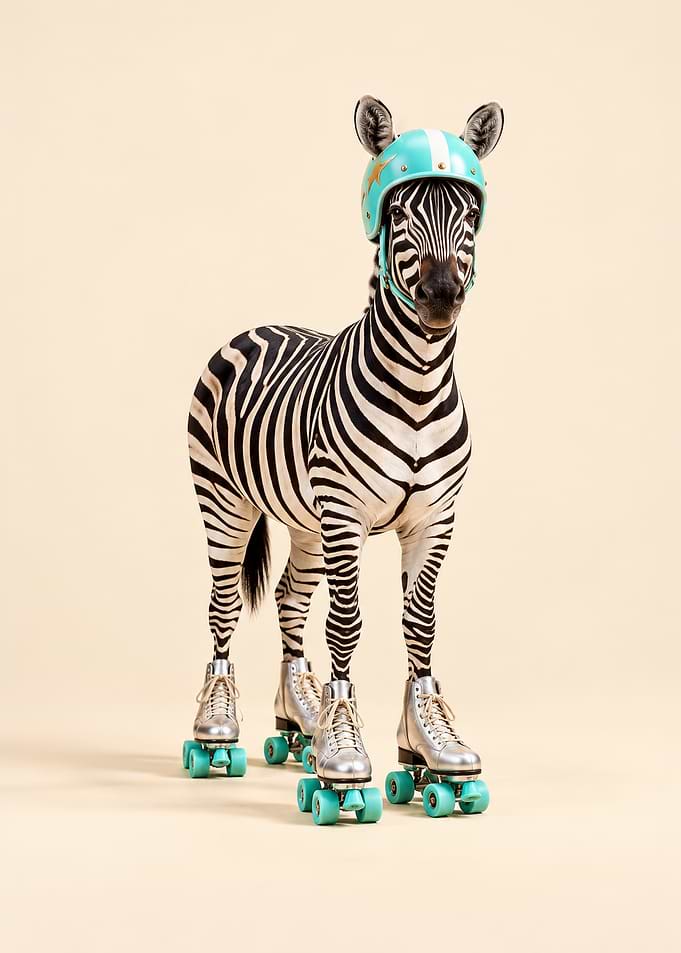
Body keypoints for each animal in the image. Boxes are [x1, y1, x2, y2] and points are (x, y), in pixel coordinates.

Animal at [181, 95, 504, 824]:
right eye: (399, 216)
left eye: (469, 217)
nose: (441, 299)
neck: (419, 385)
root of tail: (255, 325)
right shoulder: (347, 516)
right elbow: (348, 624)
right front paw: (341, 757)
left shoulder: (434, 519)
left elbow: (420, 624)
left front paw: (429, 754)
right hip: (225, 501)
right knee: (222, 605)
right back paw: (217, 733)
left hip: (304, 522)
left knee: (287, 599)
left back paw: (297, 718)